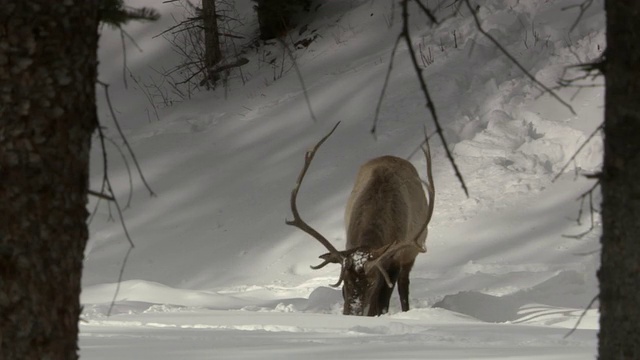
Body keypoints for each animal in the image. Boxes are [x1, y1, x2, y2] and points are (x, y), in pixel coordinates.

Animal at [286, 123, 432, 316]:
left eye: (371, 282)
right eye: (344, 282)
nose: (353, 313)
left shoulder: (393, 260)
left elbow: (382, 302)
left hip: (412, 250)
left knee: (403, 286)